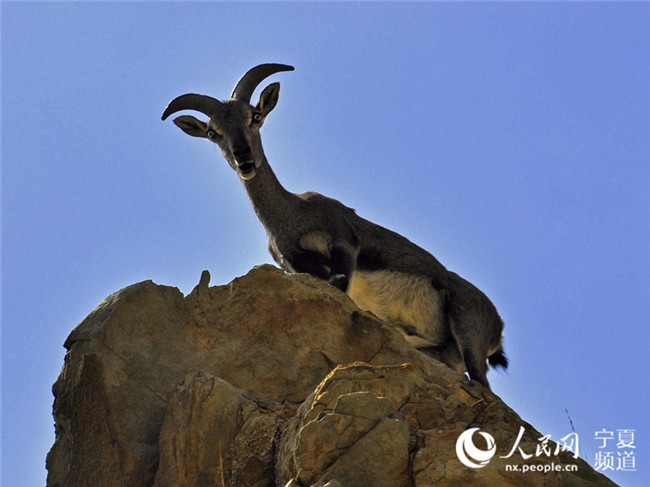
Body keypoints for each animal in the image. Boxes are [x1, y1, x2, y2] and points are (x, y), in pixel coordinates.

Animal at [162, 63, 507, 388]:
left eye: (255, 116)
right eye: (213, 132)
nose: (244, 158)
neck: (291, 217)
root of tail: (498, 328)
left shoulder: (343, 240)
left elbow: (340, 276)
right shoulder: (296, 265)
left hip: (468, 326)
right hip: (444, 351)